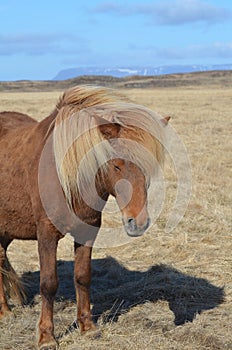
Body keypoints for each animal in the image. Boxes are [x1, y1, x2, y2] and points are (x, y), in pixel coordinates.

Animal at [0, 85, 169, 350]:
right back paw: (5, 312)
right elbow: (49, 283)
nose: (138, 223)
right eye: (116, 165)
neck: (66, 176)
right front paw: (46, 337)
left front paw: (87, 327)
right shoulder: (46, 235)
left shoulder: (87, 232)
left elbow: (83, 277)